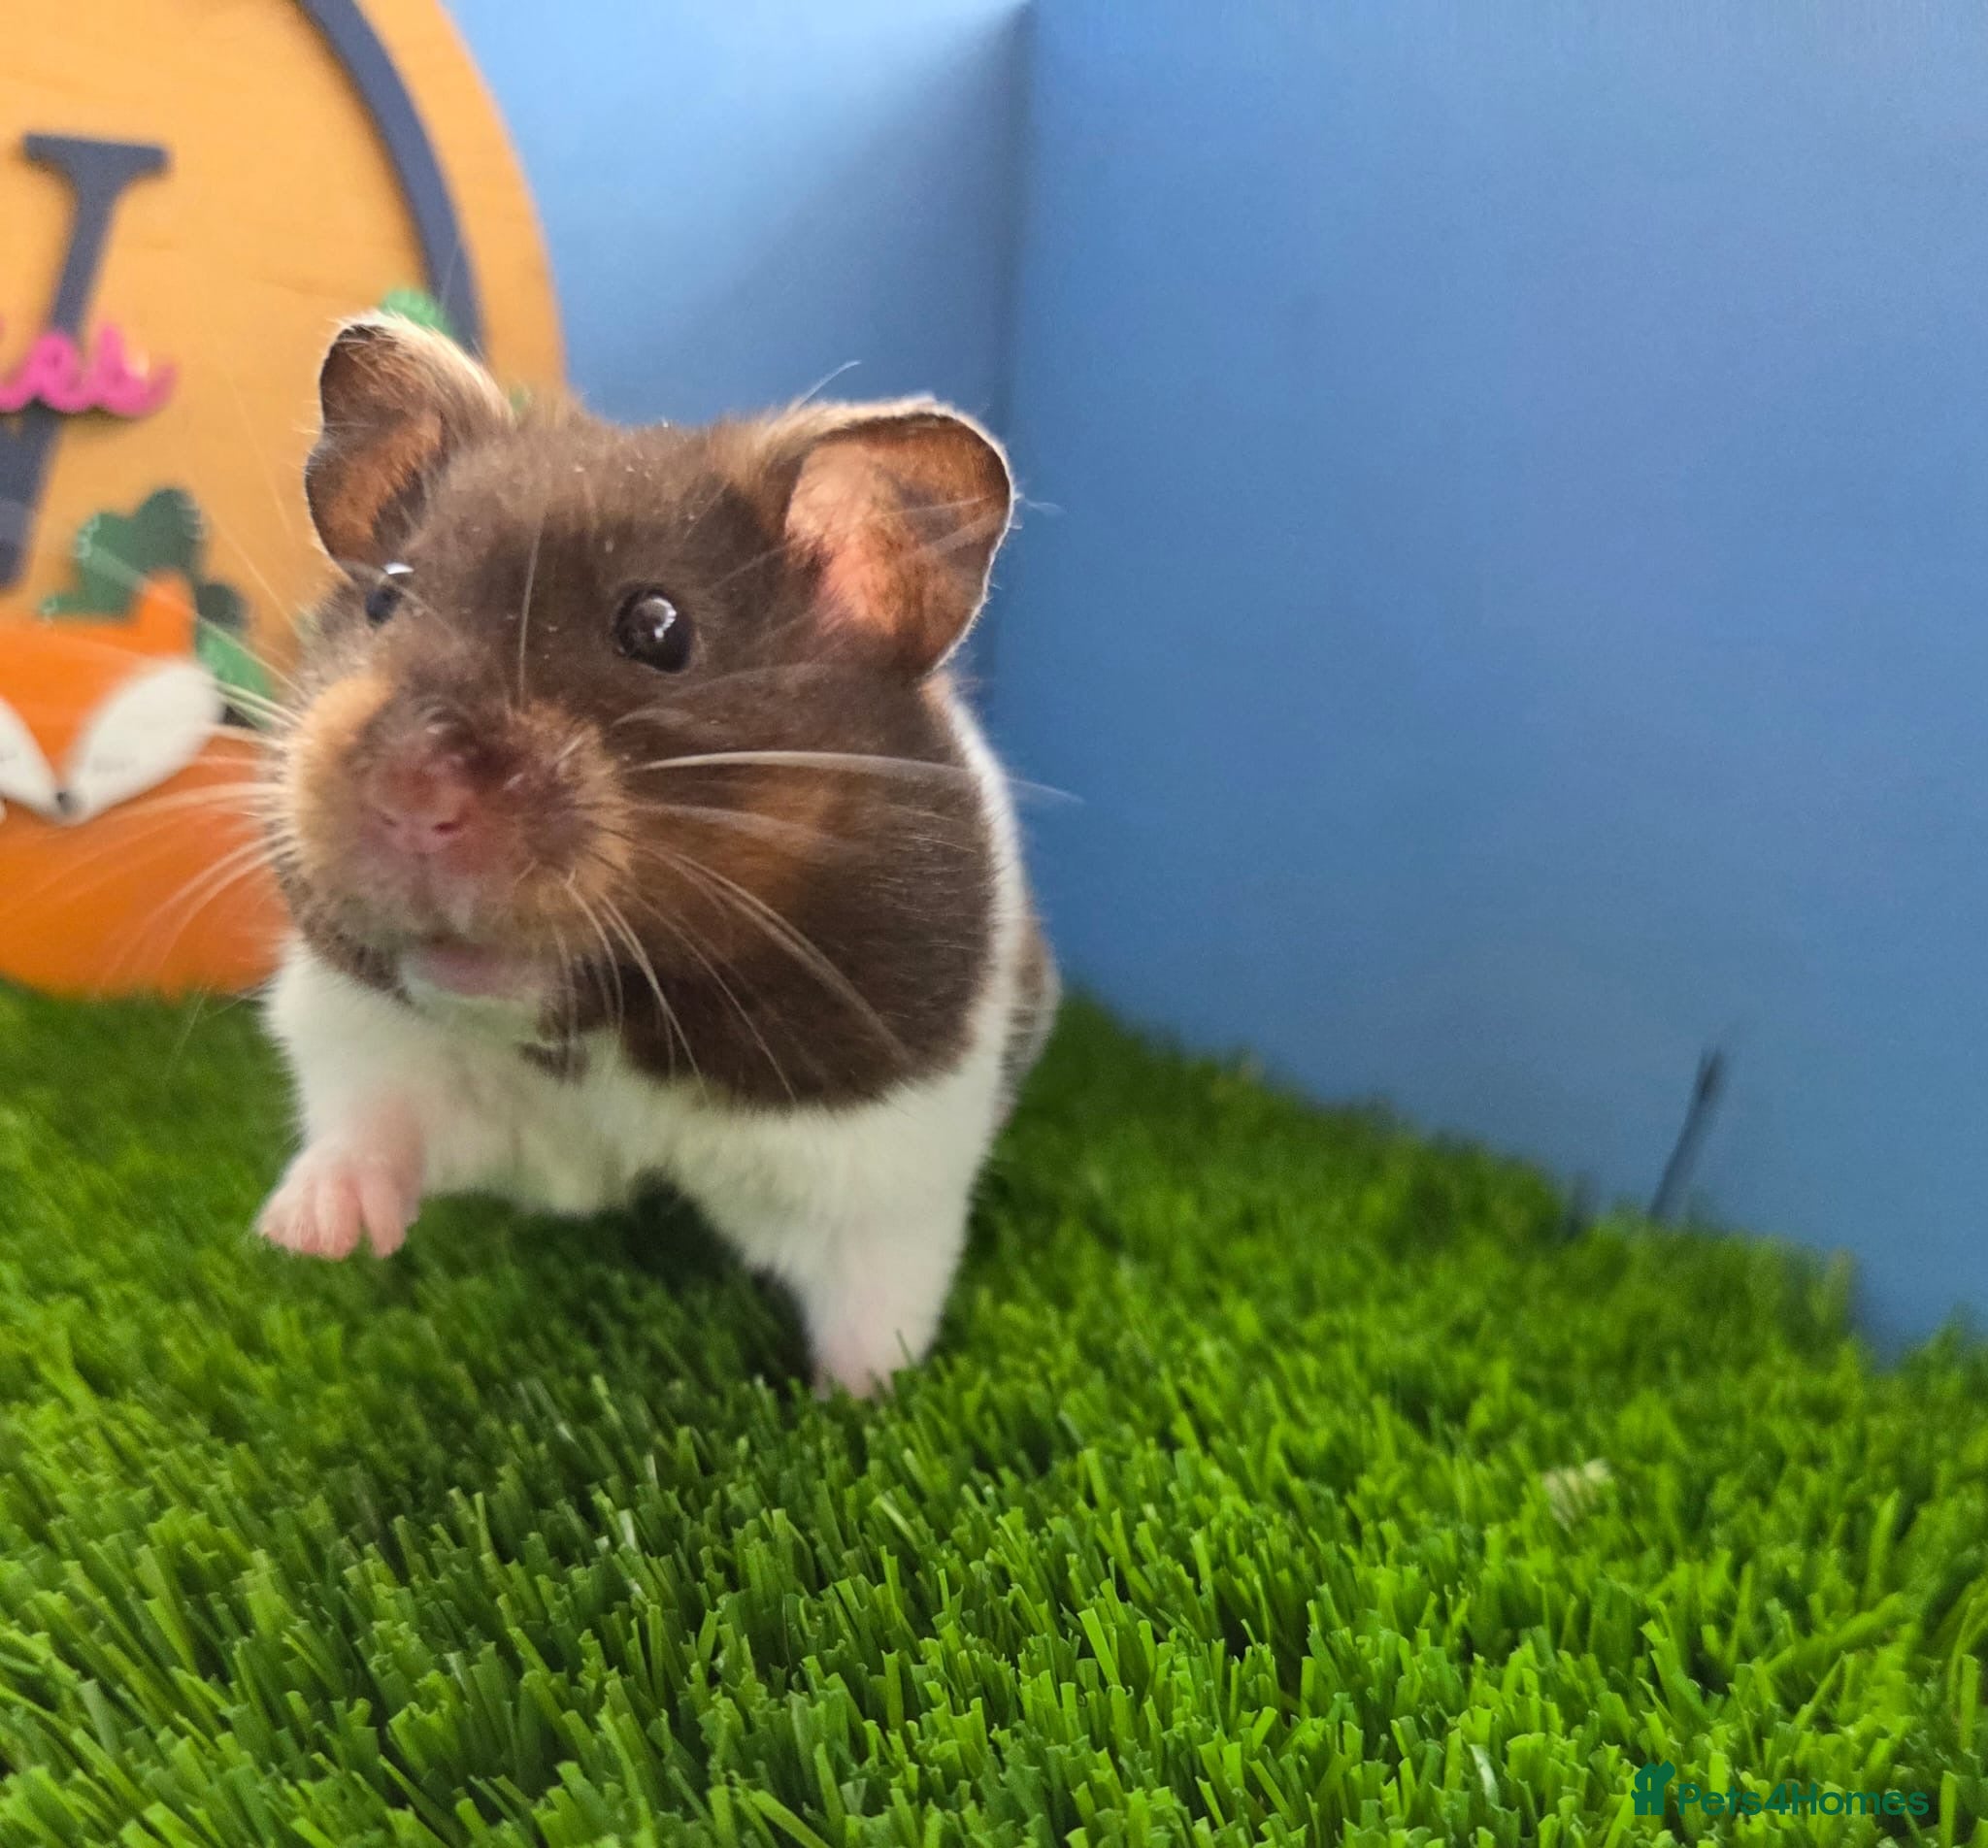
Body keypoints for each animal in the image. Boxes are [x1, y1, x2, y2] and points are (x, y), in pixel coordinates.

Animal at [255, 316, 1058, 1395]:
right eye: (386, 598)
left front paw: (854, 1405)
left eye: (657, 629)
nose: (415, 796)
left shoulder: (881, 1160)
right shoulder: (385, 1043)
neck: (614, 1017)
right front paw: (303, 1235)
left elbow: (874, 1303)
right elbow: (372, 1122)